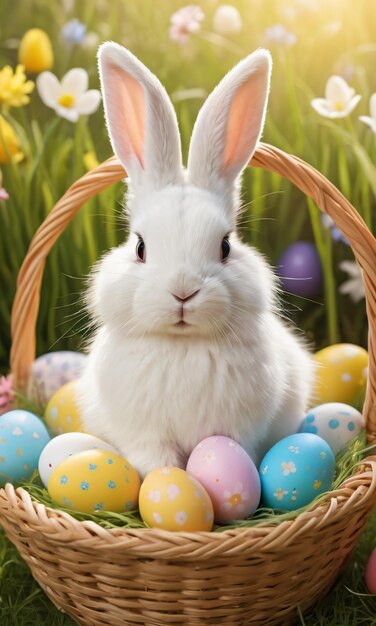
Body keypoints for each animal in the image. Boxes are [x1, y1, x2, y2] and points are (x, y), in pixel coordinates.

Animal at [78, 41, 316, 476]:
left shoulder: (238, 432)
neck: (182, 345)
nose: (183, 292)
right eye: (140, 247)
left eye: (225, 246)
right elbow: (156, 466)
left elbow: (223, 451)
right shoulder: (145, 437)